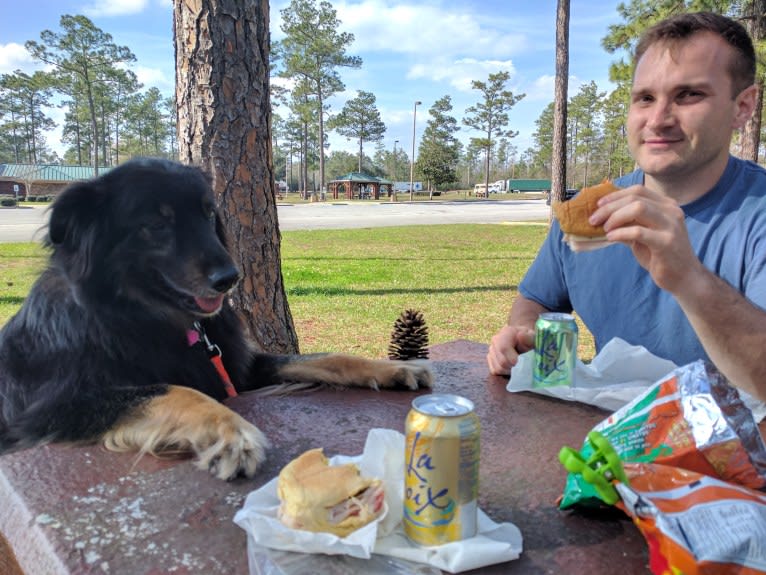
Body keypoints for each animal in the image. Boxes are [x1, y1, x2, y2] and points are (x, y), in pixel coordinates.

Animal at [0, 156, 432, 476]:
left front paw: (392, 368)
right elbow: (176, 390)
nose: (230, 278)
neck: (150, 318)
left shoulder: (239, 369)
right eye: (156, 224)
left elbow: (326, 358)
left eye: (209, 215)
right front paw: (230, 432)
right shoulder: (54, 407)